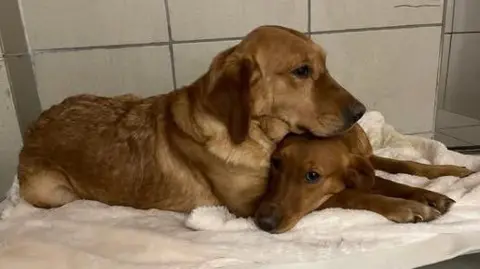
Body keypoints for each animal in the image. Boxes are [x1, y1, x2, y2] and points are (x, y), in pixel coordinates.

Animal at [16, 25, 366, 218]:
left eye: (324, 65)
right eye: (302, 71)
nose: (360, 111)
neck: (251, 132)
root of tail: (34, 126)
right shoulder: (251, 205)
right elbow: (329, 197)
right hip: (54, 193)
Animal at [255, 124, 472, 232]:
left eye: (312, 176)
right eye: (275, 162)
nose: (264, 222)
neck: (346, 142)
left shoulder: (367, 158)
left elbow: (406, 165)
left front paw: (453, 171)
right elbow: (359, 194)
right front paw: (410, 205)